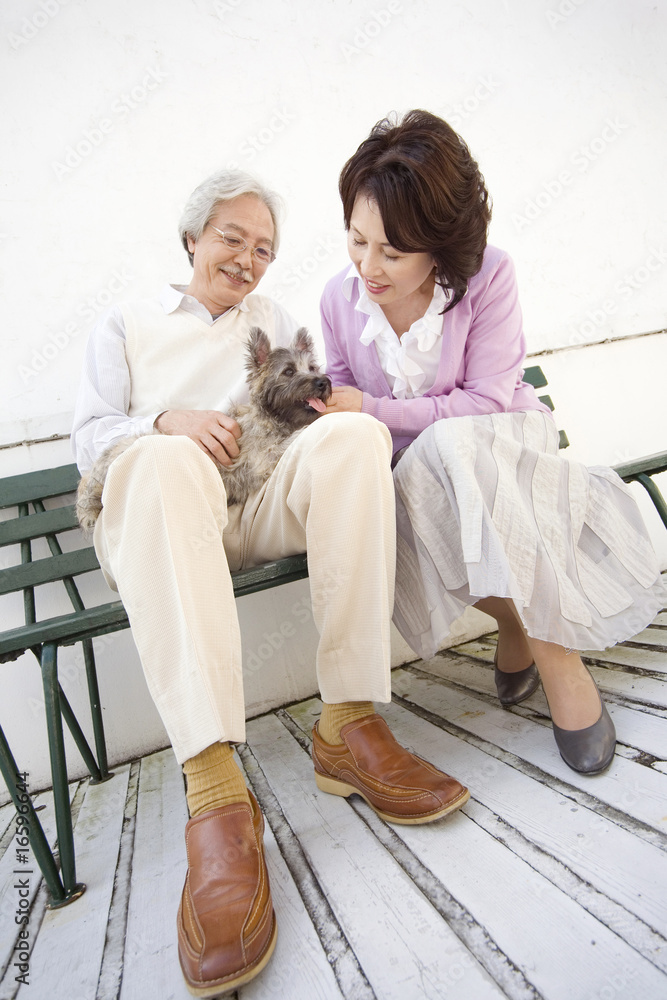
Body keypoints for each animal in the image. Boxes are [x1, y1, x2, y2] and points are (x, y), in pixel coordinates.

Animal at [75, 326, 332, 532]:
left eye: (312, 367)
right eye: (289, 371)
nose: (322, 382)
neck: (272, 418)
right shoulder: (263, 459)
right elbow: (294, 438)